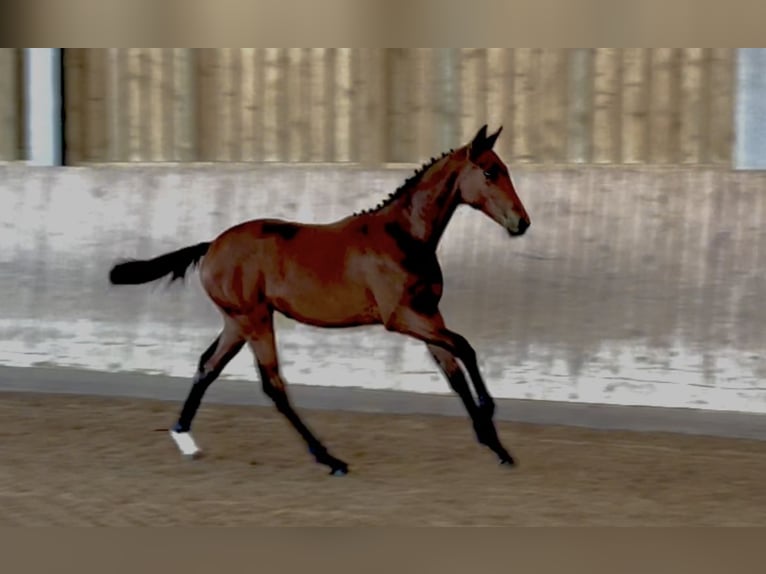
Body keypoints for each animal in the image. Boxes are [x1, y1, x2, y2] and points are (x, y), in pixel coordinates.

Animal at [109, 124, 531, 476]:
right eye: (489, 172)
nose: (522, 223)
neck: (403, 236)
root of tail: (211, 245)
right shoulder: (401, 317)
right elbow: (467, 348)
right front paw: (489, 411)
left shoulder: (429, 313)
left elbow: (454, 372)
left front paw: (496, 446)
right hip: (255, 319)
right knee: (273, 385)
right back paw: (330, 459)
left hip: (237, 322)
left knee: (206, 367)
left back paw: (184, 437)